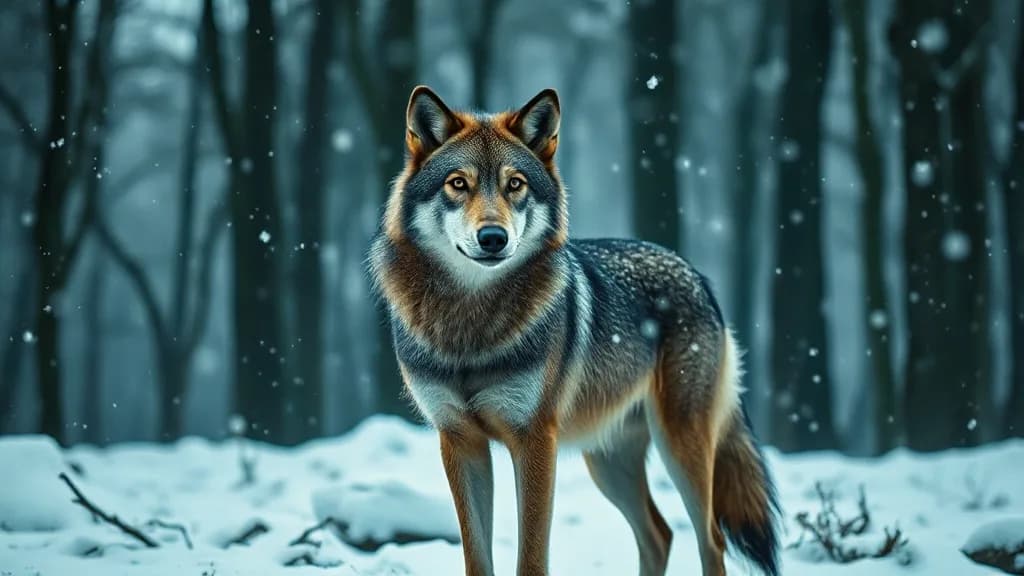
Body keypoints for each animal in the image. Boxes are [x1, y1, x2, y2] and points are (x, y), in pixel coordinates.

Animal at [369, 86, 780, 576]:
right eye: (458, 183)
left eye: (515, 185)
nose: (493, 238)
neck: (471, 322)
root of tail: (696, 274)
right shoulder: (459, 441)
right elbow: (477, 558)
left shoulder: (534, 440)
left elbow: (531, 558)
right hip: (607, 463)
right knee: (659, 534)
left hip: (680, 446)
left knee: (710, 539)